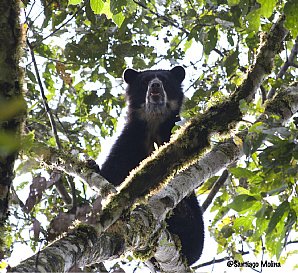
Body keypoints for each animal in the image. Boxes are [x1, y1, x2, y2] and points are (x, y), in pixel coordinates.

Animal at [101, 65, 204, 264]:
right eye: (145, 81)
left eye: (164, 80)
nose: (155, 85)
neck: (154, 123)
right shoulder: (130, 139)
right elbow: (112, 170)